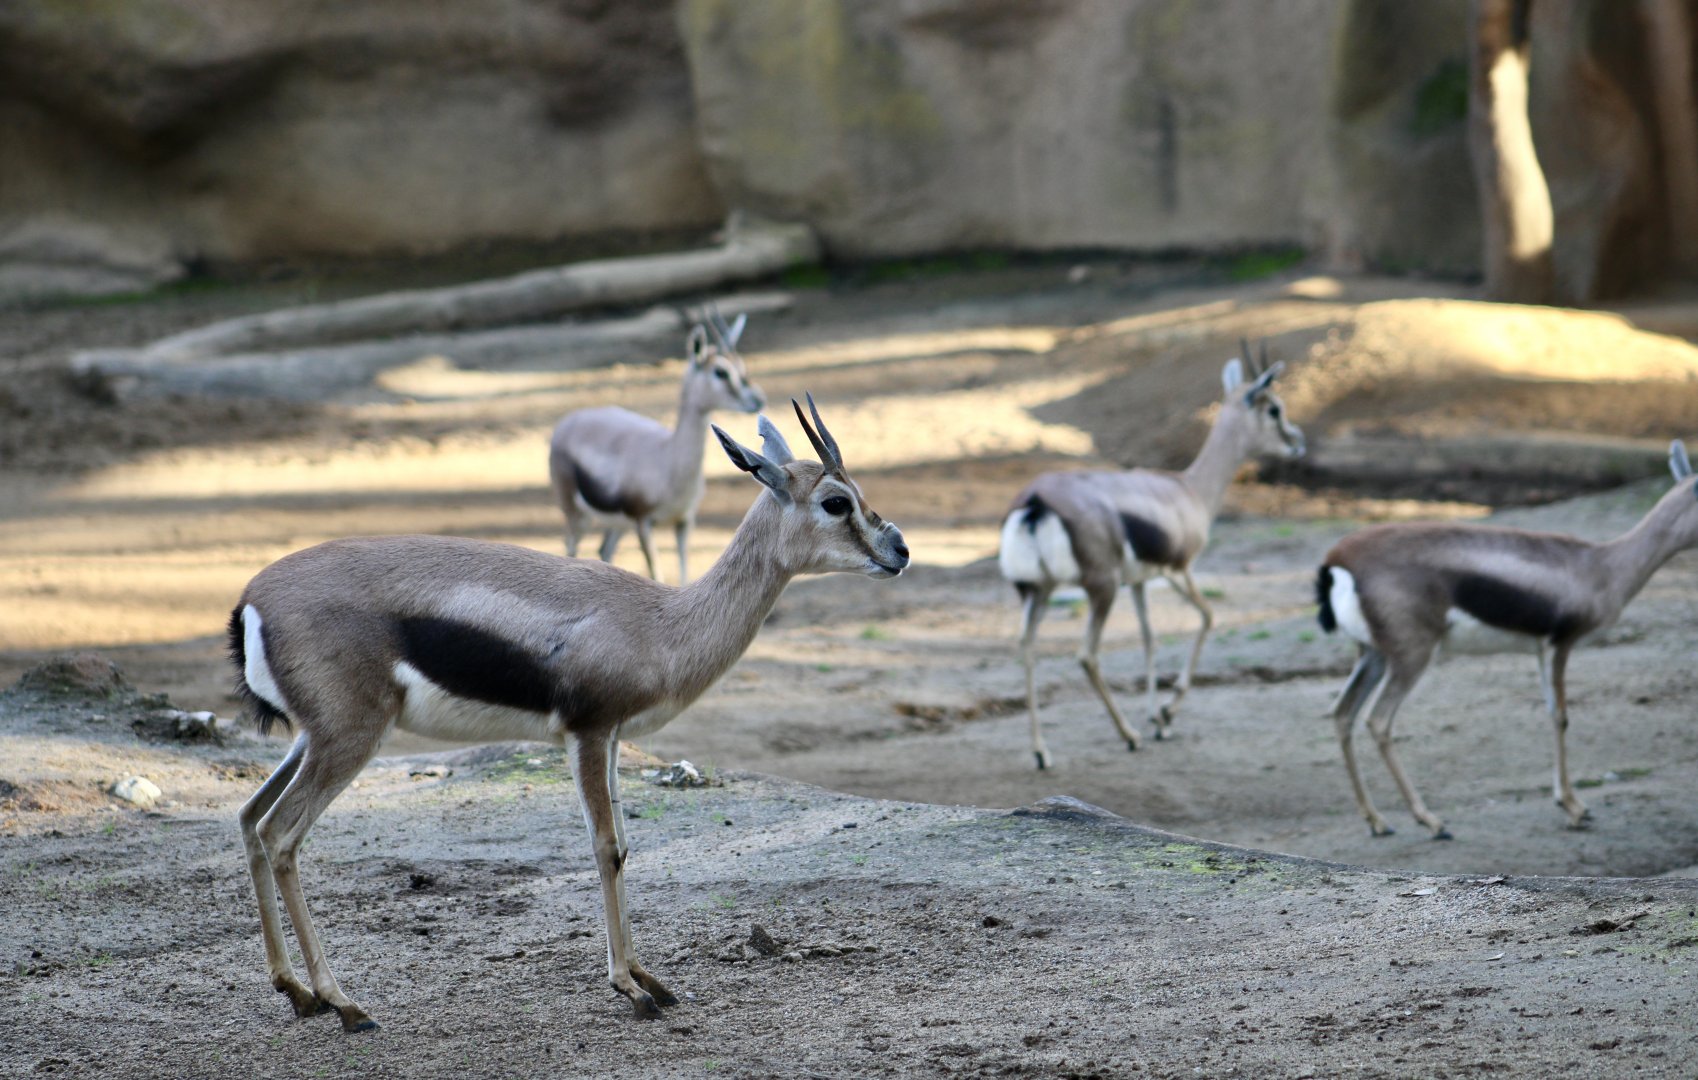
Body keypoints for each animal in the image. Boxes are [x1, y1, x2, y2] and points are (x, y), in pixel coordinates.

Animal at [228, 396, 908, 1031]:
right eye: (836, 502)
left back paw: (296, 992)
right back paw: (344, 1003)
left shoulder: (612, 739)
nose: (899, 549)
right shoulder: (587, 732)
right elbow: (605, 847)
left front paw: (649, 978)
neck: (662, 623)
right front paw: (629, 989)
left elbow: (626, 844)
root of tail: (251, 600)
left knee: (248, 817)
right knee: (280, 834)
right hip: (349, 739)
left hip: (311, 739)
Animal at [549, 308, 764, 584]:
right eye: (720, 371)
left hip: (618, 524)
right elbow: (657, 576)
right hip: (577, 515)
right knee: (570, 546)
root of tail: (568, 421)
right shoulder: (644, 523)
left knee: (604, 549)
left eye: (741, 366)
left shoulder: (684, 522)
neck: (669, 458)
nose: (758, 399)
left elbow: (684, 574)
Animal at [999, 341, 1305, 768]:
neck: (1189, 490)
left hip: (1037, 591)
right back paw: (1129, 736)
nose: (1297, 441)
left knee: (1026, 649)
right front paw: (1165, 714)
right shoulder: (1177, 571)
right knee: (1086, 654)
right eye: (1273, 408)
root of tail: (1035, 500)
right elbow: (1207, 618)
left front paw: (1155, 716)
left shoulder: (1139, 582)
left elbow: (1150, 638)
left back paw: (1042, 751)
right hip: (1101, 587)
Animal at [1316, 440, 1698, 839]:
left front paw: (1569, 805)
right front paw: (1574, 808)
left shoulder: (1539, 649)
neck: (1601, 566)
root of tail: (1336, 562)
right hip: (1411, 657)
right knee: (1378, 721)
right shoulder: (1559, 643)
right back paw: (1432, 821)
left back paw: (1377, 821)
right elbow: (1560, 716)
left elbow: (1552, 712)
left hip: (1373, 655)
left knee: (1343, 713)